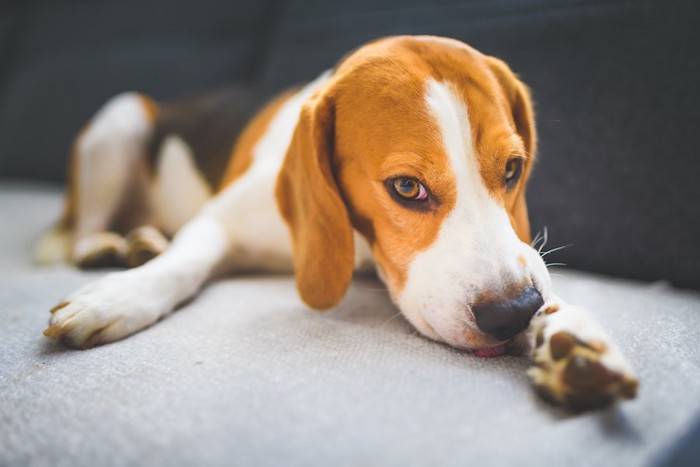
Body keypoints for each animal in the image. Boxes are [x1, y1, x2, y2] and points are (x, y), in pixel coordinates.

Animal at [39, 34, 640, 412]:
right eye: (406, 187)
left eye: (513, 169)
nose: (513, 314)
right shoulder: (217, 220)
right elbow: (184, 263)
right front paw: (118, 296)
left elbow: (548, 290)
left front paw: (571, 337)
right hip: (119, 119)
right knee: (79, 231)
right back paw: (113, 248)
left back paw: (142, 240)